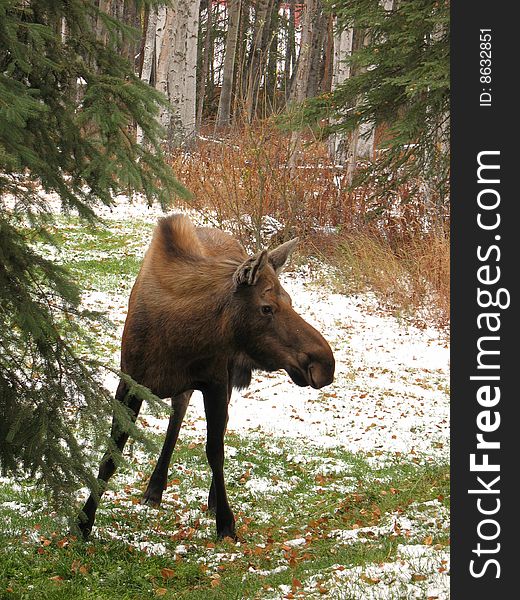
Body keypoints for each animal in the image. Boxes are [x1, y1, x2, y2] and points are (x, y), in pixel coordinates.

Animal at [78, 214, 338, 540]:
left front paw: (225, 520)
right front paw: (84, 521)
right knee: (177, 418)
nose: (324, 363)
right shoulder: (130, 383)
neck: (179, 339)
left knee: (218, 427)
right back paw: (155, 487)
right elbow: (111, 454)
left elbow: (215, 450)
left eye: (290, 300)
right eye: (267, 307)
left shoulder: (215, 381)